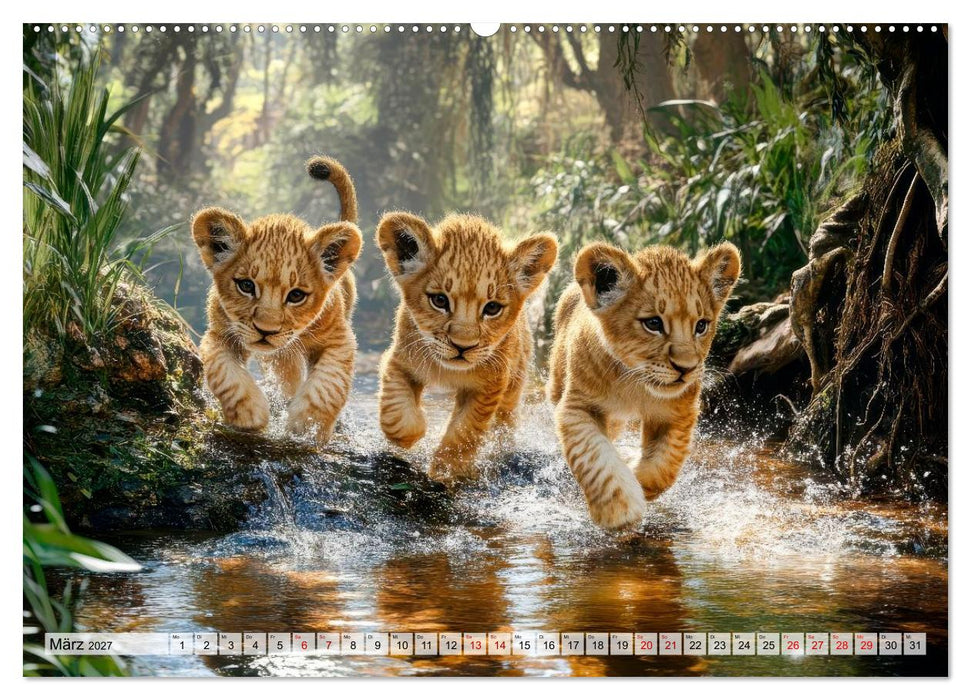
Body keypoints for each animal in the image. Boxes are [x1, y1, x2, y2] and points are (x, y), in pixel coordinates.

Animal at [191, 156, 362, 443]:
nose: (266, 331)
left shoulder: (340, 339)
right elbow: (224, 373)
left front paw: (307, 426)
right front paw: (249, 414)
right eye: (246, 285)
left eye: (296, 295)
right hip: (278, 358)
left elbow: (327, 386)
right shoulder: (219, 334)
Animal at [375, 212, 558, 483]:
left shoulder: (489, 385)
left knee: (506, 422)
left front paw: (446, 469)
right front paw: (414, 432)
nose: (462, 347)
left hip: (515, 383)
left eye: (492, 308)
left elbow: (465, 430)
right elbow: (397, 412)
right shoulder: (399, 361)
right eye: (439, 300)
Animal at [548, 241, 741, 529]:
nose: (686, 368)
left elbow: (664, 465)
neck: (635, 383)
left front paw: (634, 472)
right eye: (653, 323)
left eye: (701, 326)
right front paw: (619, 510)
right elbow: (593, 457)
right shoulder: (575, 407)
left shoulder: (677, 412)